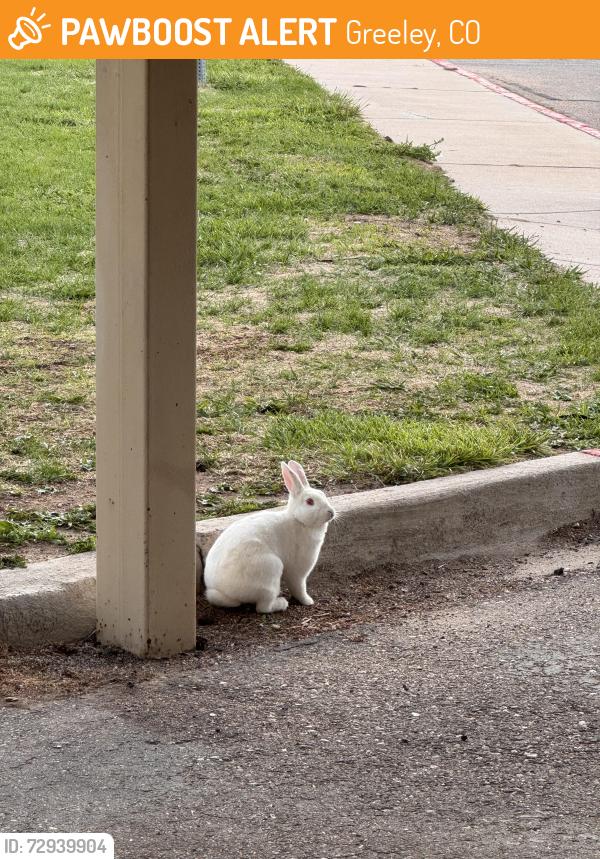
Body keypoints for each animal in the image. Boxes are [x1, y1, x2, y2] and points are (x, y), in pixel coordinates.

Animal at [203, 460, 335, 613]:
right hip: (271, 571)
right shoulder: (298, 571)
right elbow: (299, 588)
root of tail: (225, 593)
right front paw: (308, 601)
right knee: (263, 607)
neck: (298, 520)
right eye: (309, 502)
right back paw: (282, 603)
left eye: (322, 494)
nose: (331, 512)